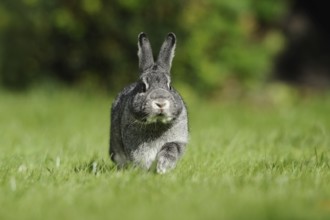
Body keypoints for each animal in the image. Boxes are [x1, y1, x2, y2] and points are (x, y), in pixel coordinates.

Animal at [109, 32, 188, 174]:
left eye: (170, 86)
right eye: (143, 86)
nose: (161, 102)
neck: (156, 123)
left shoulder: (178, 140)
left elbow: (170, 149)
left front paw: (163, 168)